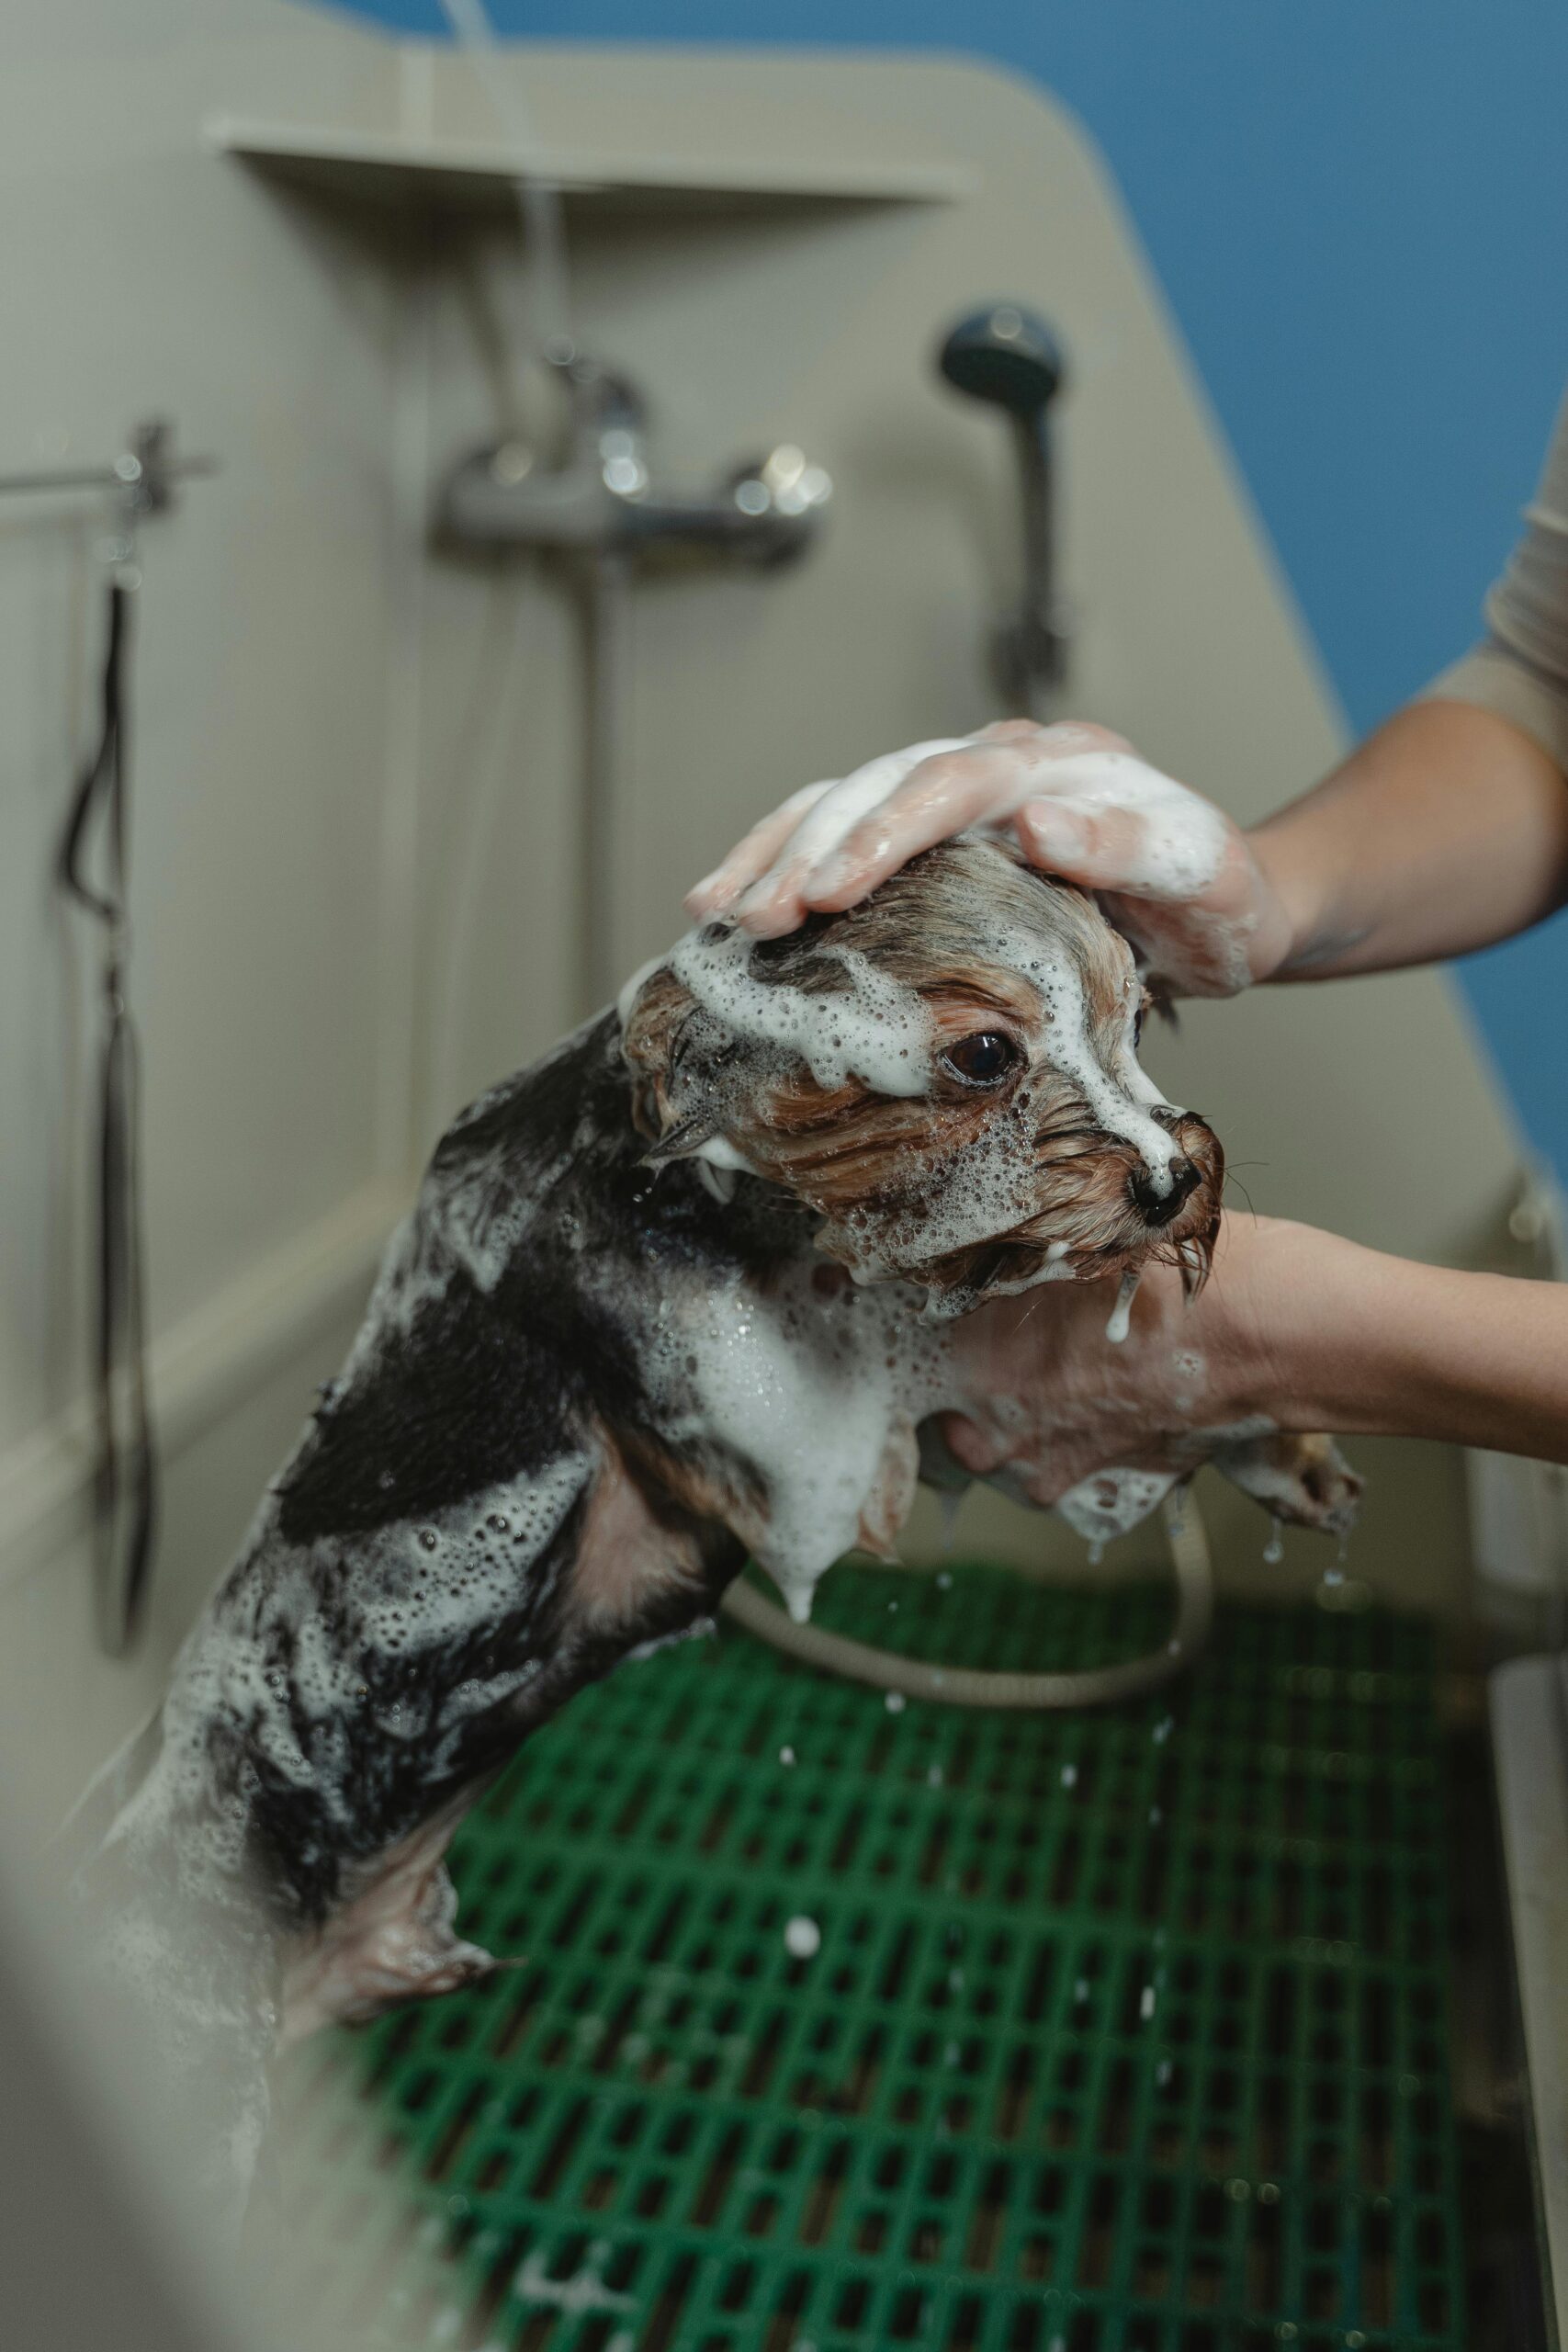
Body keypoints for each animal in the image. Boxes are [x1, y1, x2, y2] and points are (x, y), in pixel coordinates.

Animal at [70, 837, 1354, 2211]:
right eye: (982, 1055)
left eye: (1137, 1023)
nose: (1171, 1180)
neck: (709, 1184)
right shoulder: (795, 1432)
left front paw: (1278, 1448)